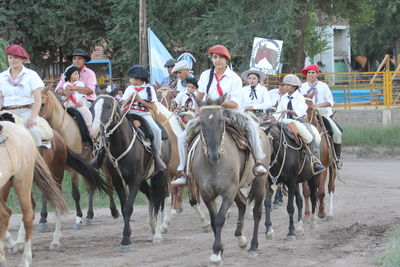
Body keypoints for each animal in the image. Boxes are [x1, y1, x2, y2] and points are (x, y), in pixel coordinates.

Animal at [40, 87, 117, 228]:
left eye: (42, 104)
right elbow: (46, 191)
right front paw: (42, 218)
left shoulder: (73, 170)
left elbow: (75, 193)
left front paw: (78, 217)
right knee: (90, 187)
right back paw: (90, 215)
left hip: (104, 163)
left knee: (108, 182)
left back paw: (113, 211)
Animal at [90, 95, 170, 250]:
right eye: (92, 108)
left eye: (109, 106)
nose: (95, 132)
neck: (121, 145)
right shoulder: (118, 181)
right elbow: (123, 208)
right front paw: (126, 237)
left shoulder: (134, 180)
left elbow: (128, 208)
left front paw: (126, 239)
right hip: (144, 181)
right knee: (152, 194)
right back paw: (152, 226)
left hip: (160, 175)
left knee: (160, 200)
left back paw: (158, 234)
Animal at [150, 101, 211, 233]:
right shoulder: (169, 177)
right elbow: (168, 198)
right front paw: (164, 225)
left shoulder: (189, 178)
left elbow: (192, 201)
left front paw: (206, 223)